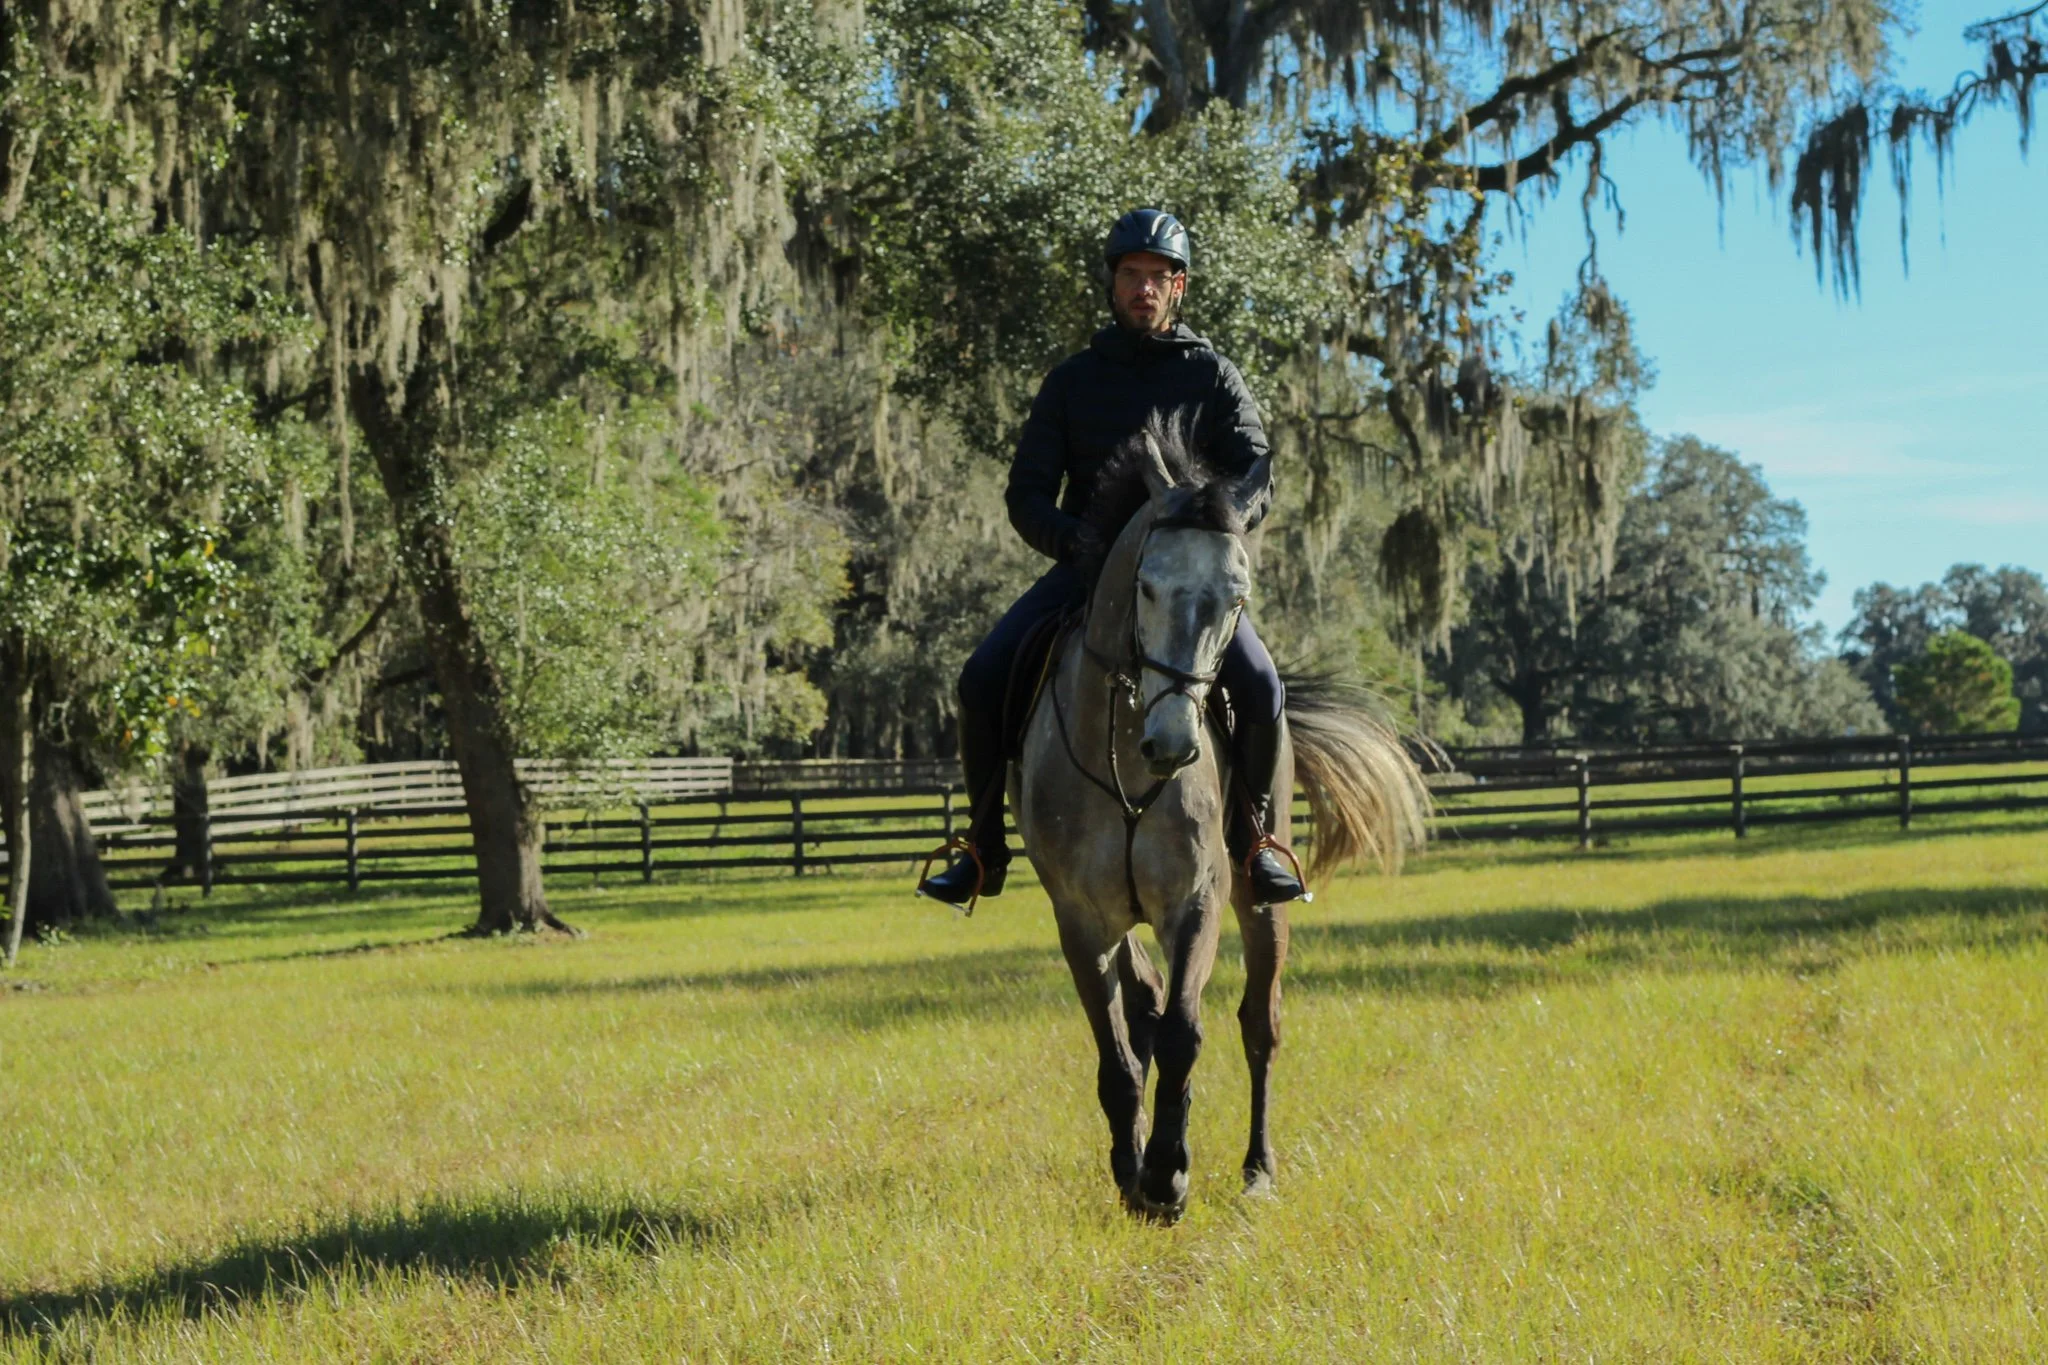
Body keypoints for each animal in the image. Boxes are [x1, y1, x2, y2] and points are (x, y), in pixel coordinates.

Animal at [1012, 428, 1429, 1221]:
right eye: (1146, 586)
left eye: (1237, 597)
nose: (1174, 743)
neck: (1127, 761)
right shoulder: (1081, 918)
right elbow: (1118, 1055)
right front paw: (1133, 1172)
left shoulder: (1196, 902)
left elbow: (1182, 1033)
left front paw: (1167, 1175)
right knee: (1143, 1003)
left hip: (1261, 900)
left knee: (1258, 1026)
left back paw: (1258, 1168)